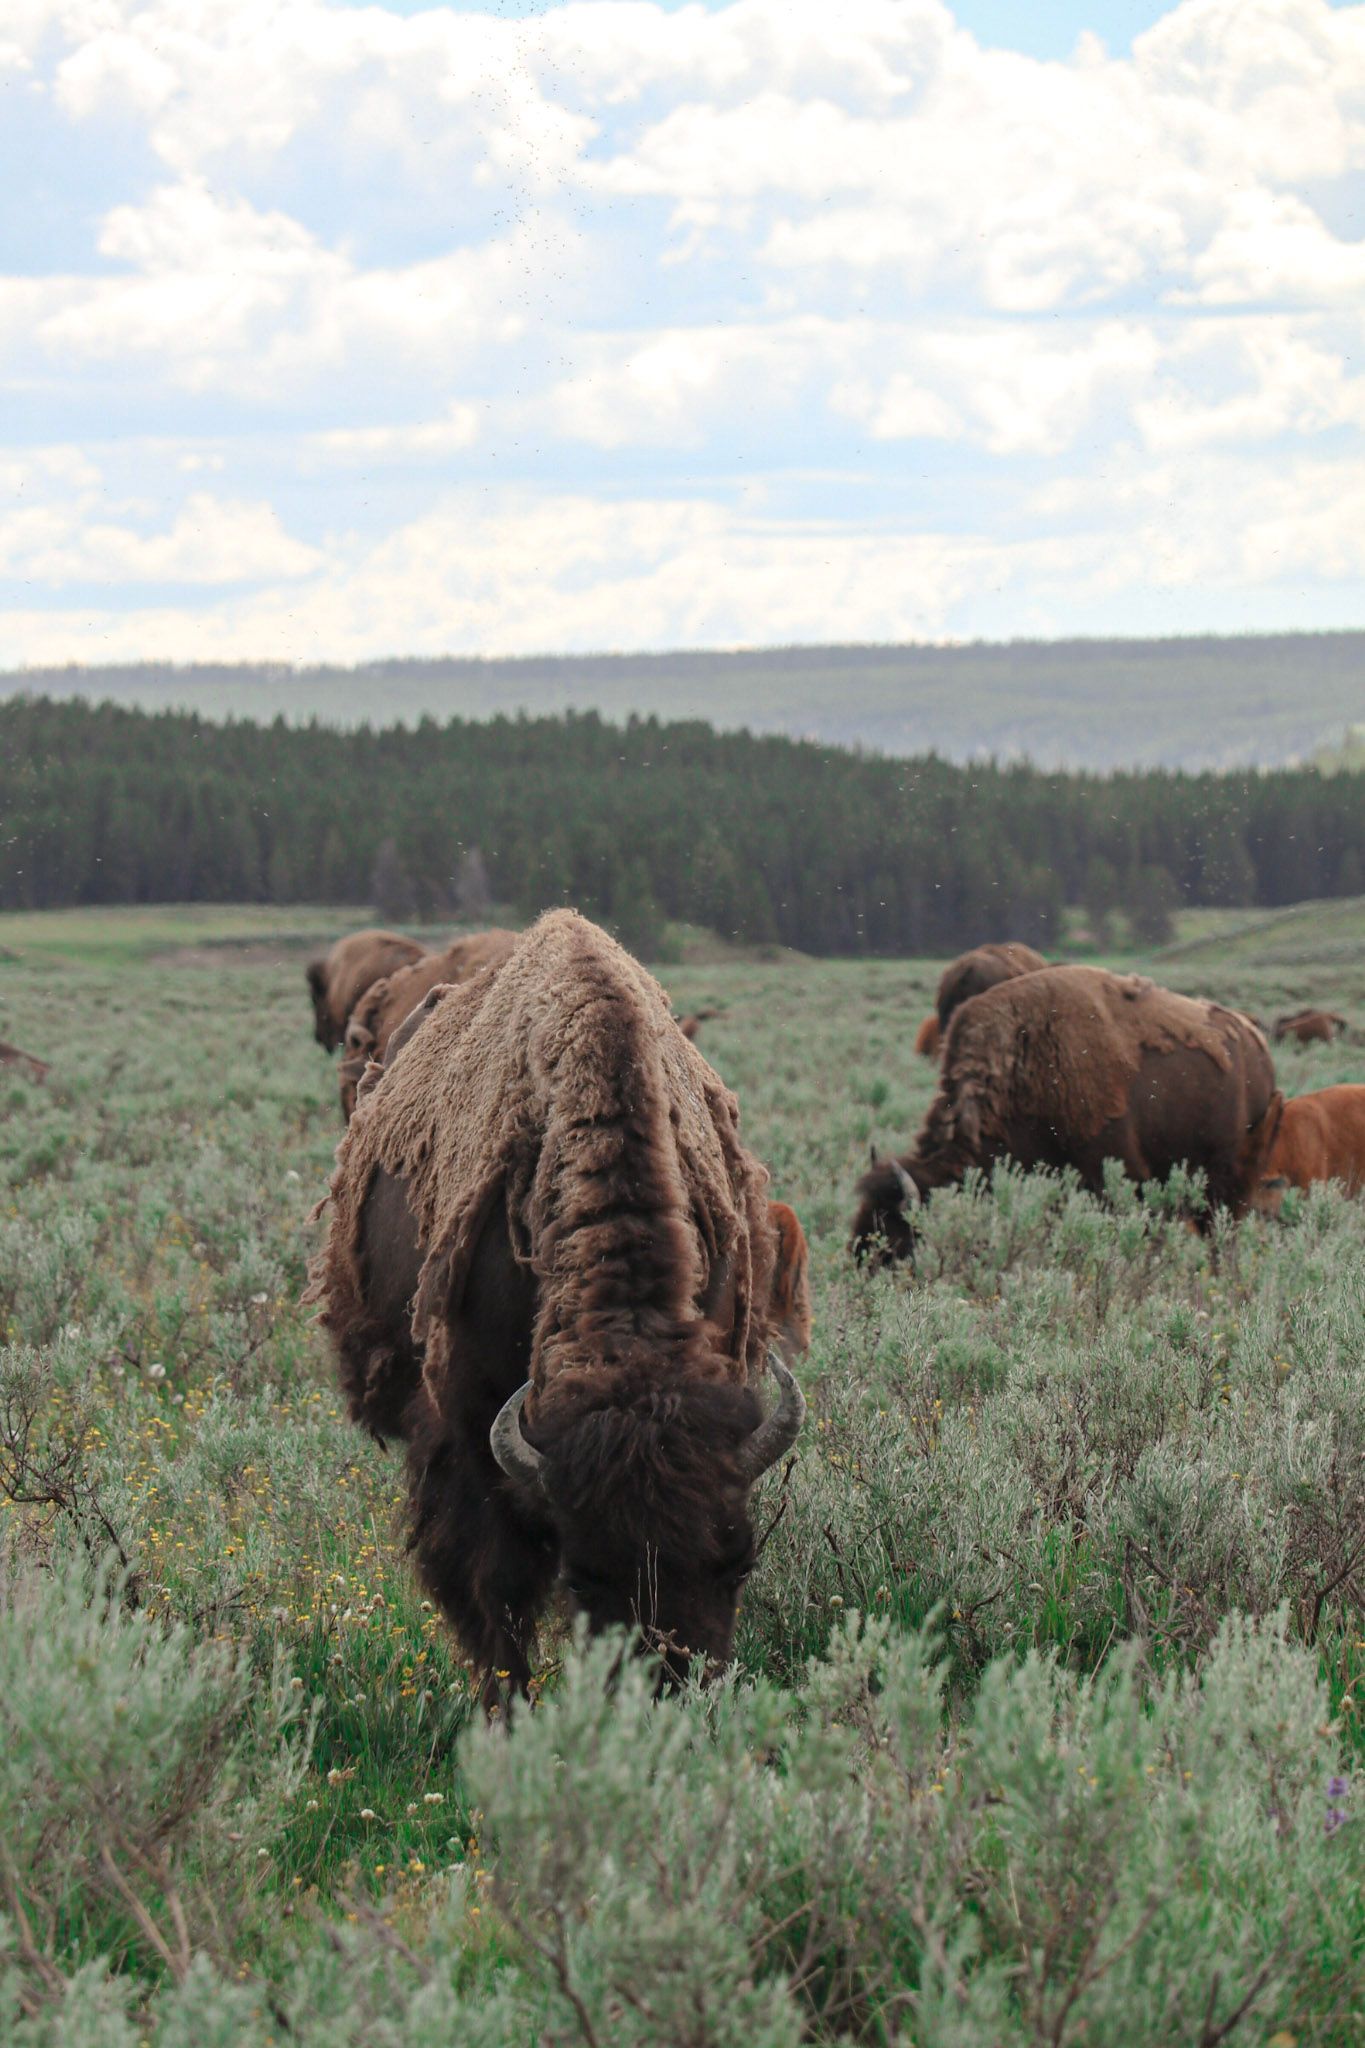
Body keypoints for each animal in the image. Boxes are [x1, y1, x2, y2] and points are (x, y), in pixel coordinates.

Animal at [852, 965, 1282, 1264]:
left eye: (894, 1229)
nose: (862, 1265)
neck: (1027, 1063)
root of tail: (1255, 1044)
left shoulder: (1112, 1174)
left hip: (1226, 1180)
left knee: (1221, 1232)